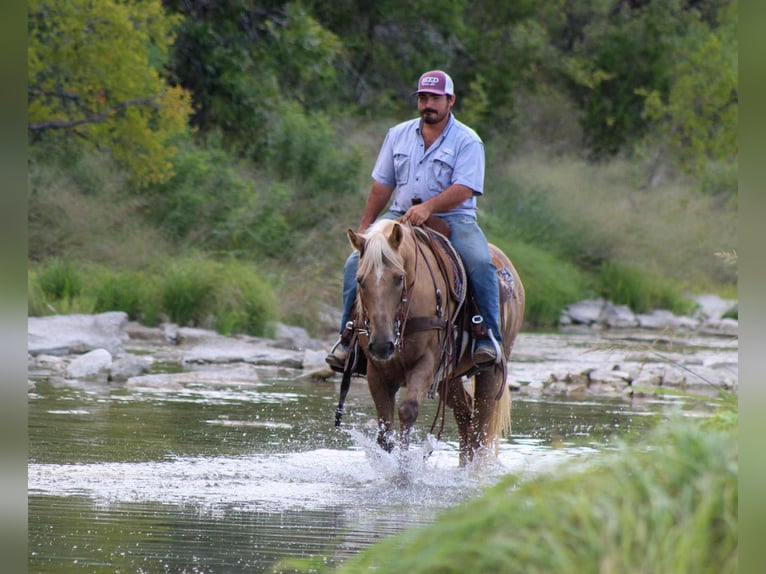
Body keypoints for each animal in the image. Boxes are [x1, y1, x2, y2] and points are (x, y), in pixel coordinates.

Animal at [338, 218, 524, 466]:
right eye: (359, 280)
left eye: (399, 278)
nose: (381, 345)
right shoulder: (377, 372)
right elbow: (385, 429)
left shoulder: (425, 363)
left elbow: (407, 411)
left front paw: (403, 470)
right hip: (450, 378)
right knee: (465, 417)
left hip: (491, 371)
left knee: (481, 427)